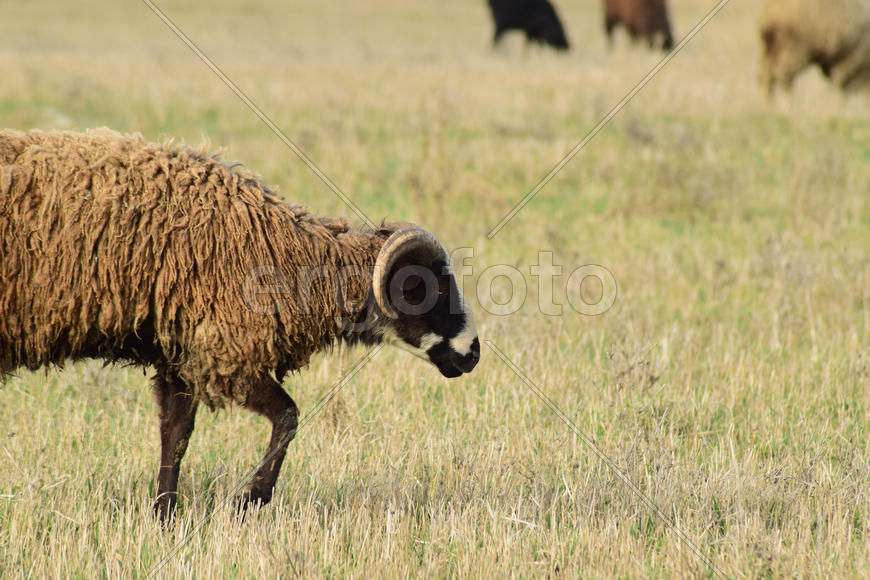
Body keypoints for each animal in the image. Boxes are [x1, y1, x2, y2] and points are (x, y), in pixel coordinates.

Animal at [0, 128, 480, 521]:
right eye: (430, 288)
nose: (473, 353)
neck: (285, 256)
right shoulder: (226, 358)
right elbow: (288, 417)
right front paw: (251, 501)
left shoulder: (183, 357)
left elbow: (175, 435)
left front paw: (164, 515)